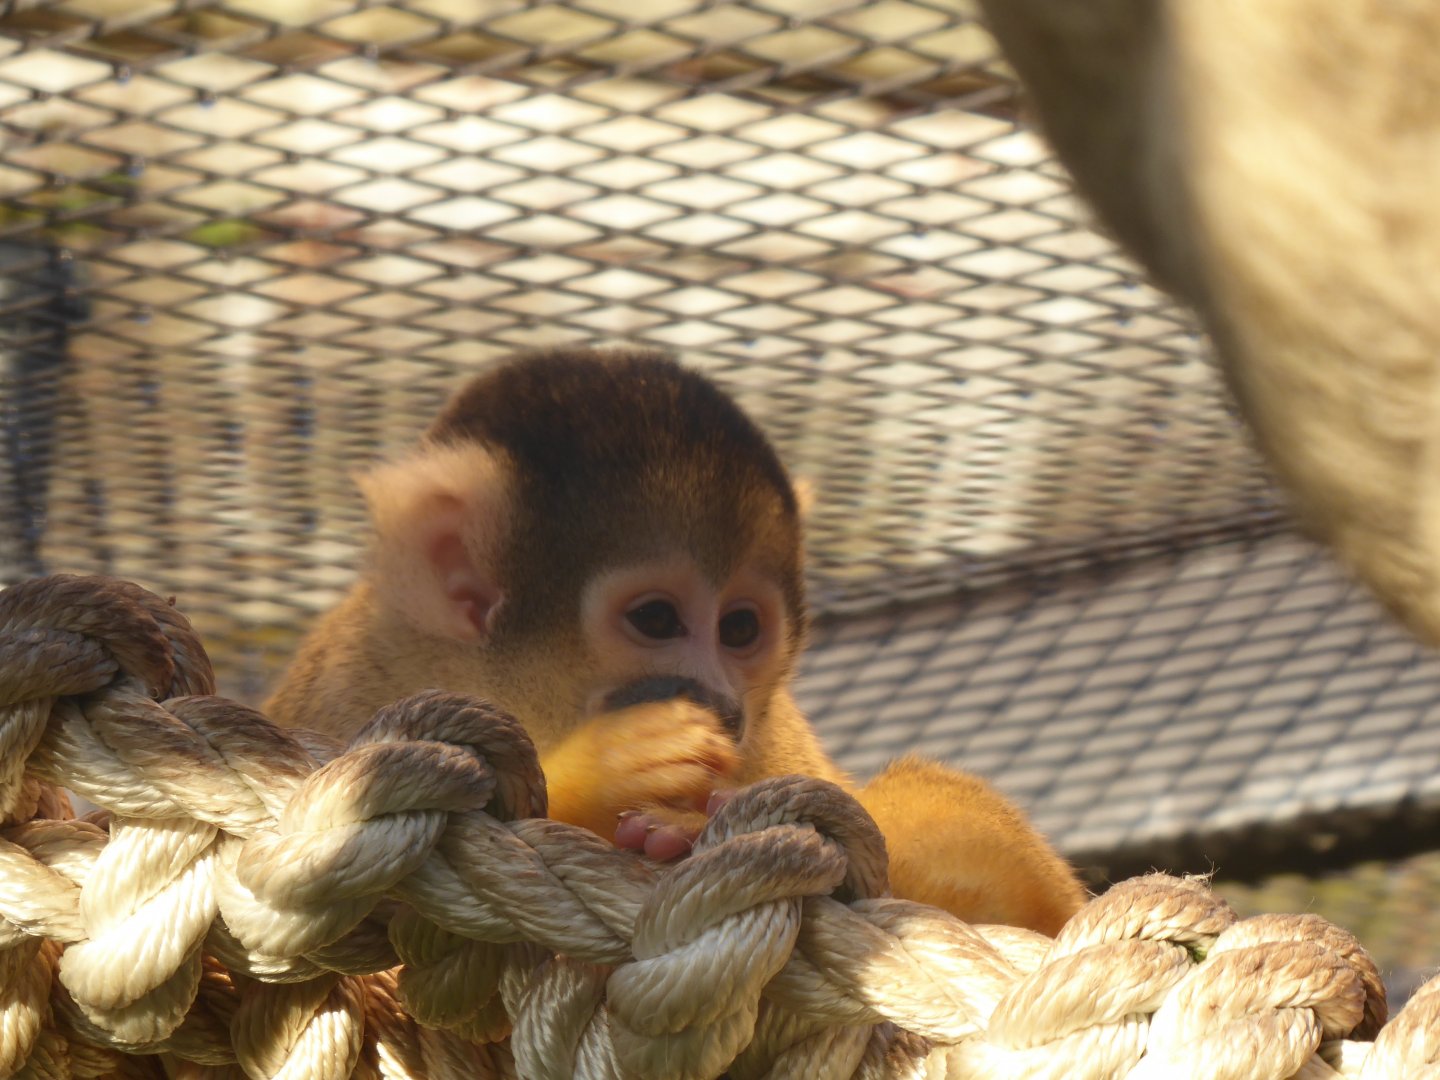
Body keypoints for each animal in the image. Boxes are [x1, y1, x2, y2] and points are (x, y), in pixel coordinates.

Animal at [266, 347, 1086, 934]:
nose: (723, 703)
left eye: (740, 629)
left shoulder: (772, 730)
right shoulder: (344, 689)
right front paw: (602, 774)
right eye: (658, 620)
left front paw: (688, 823)